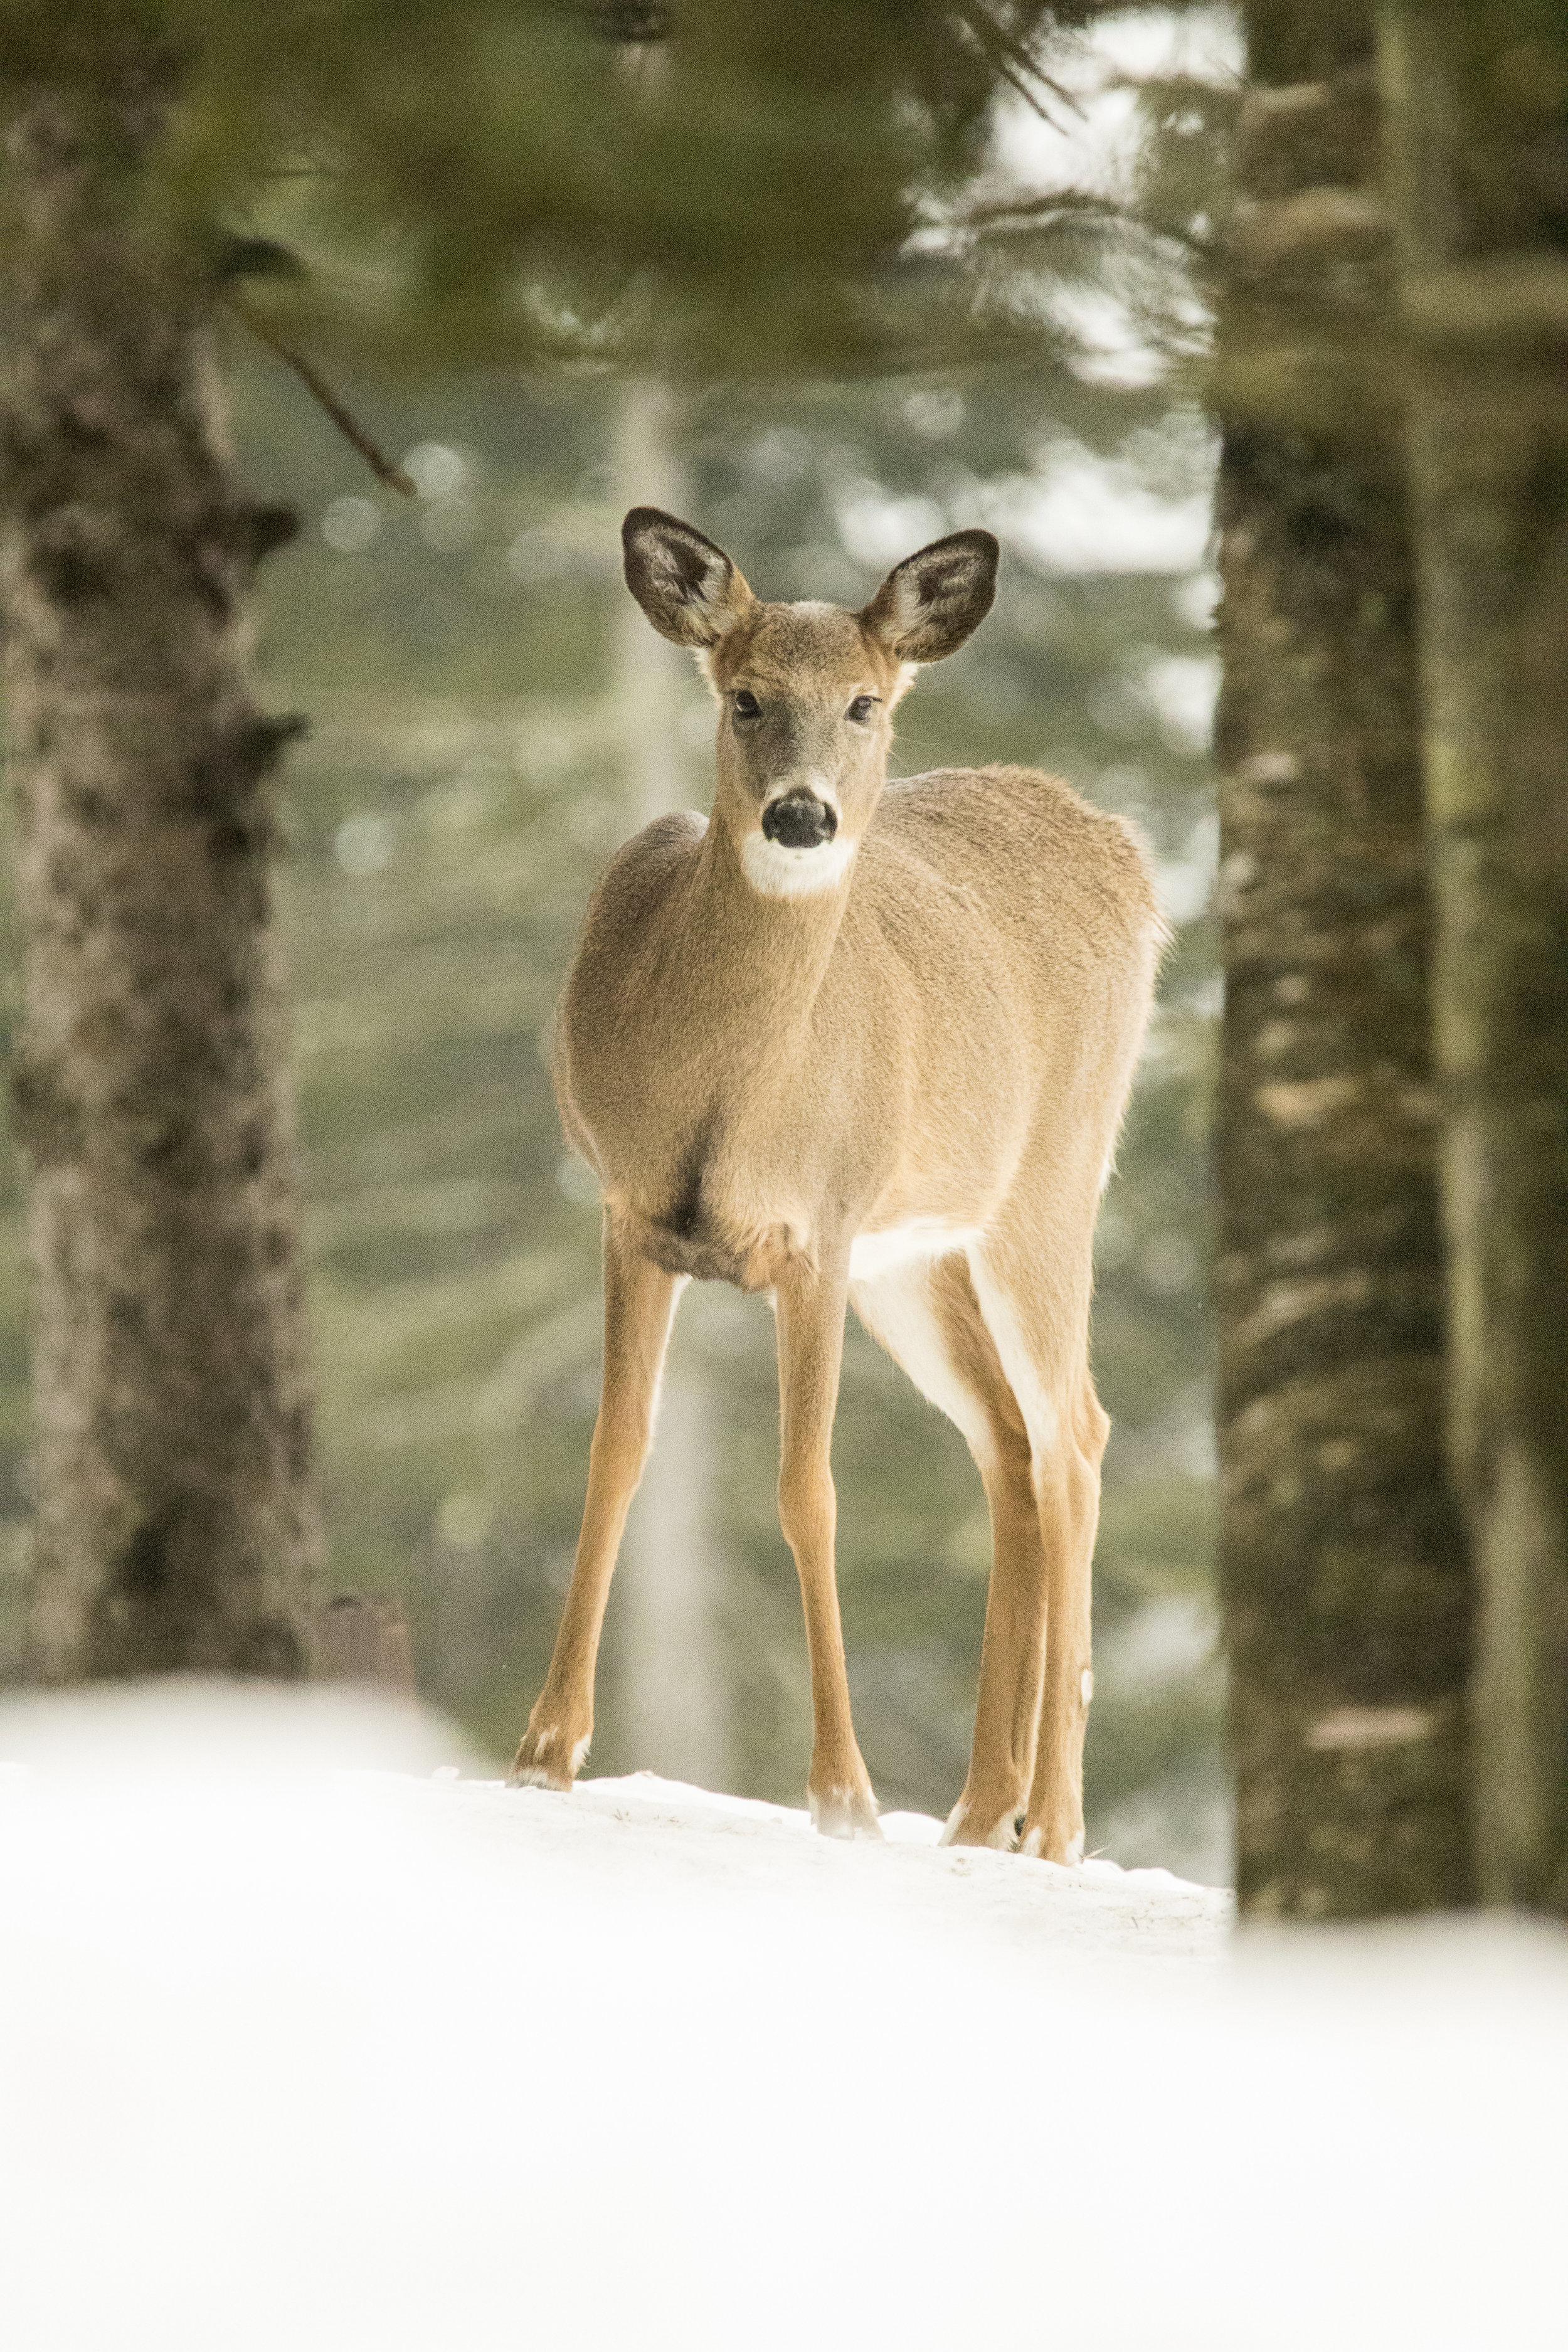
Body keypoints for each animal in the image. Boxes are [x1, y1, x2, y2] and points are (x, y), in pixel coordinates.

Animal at [514, 501, 1166, 1853]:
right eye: (744, 696)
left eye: (864, 703)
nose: (803, 817)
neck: (725, 1098)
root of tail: (1127, 852)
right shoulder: (629, 1213)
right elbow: (615, 1450)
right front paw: (547, 1748)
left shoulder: (817, 1227)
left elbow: (807, 1489)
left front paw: (843, 1793)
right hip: (914, 1257)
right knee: (1006, 1443)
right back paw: (980, 1809)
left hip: (1047, 1186)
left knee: (1072, 1435)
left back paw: (1053, 1820)